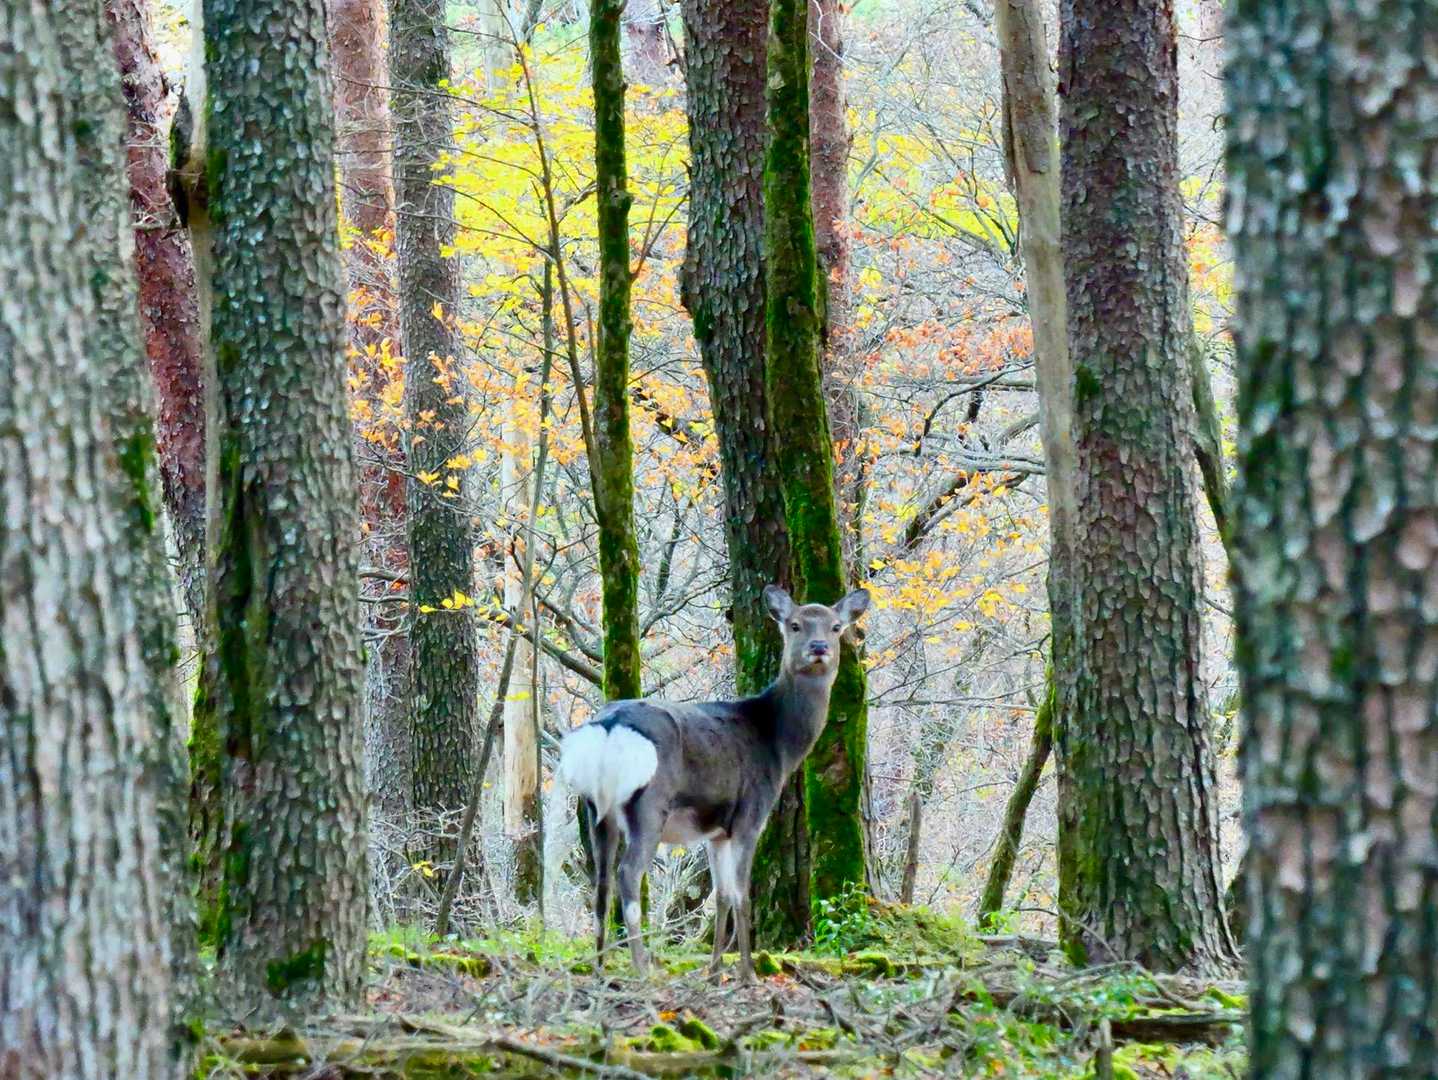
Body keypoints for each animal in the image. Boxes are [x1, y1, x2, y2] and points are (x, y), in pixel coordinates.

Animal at [557, 584, 870, 982]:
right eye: (795, 625)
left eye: (835, 627)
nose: (818, 648)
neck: (778, 745)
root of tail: (609, 727)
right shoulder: (751, 814)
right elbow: (742, 894)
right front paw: (747, 974)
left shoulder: (716, 830)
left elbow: (721, 895)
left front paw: (714, 971)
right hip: (649, 804)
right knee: (628, 874)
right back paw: (643, 969)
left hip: (594, 807)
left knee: (600, 881)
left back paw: (600, 970)